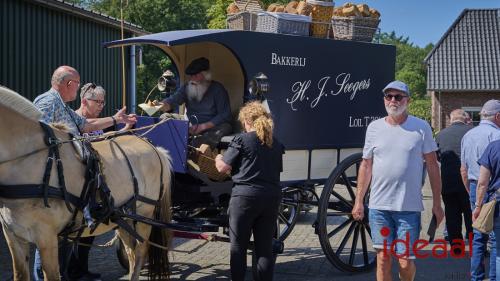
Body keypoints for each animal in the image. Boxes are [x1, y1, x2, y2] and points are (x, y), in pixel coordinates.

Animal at [0, 86, 172, 280]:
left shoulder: (46, 237)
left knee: (141, 252)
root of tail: (155, 148)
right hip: (123, 217)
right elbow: (20, 274)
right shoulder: (13, 237)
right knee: (132, 254)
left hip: (146, 214)